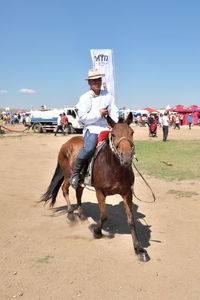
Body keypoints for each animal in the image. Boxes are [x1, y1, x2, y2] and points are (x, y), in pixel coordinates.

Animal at [41, 112, 150, 262]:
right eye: (113, 134)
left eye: (132, 132)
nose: (127, 157)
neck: (114, 167)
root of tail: (67, 143)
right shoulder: (100, 192)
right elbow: (104, 216)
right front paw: (96, 231)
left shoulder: (127, 193)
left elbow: (131, 221)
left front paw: (139, 249)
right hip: (68, 176)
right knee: (65, 190)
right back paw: (71, 215)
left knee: (79, 192)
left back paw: (81, 214)